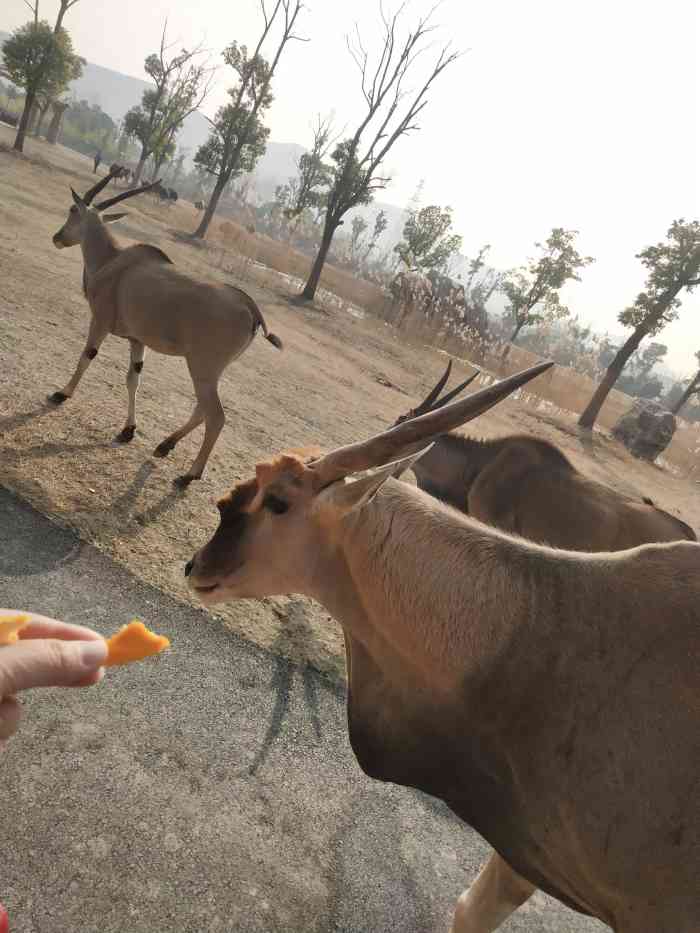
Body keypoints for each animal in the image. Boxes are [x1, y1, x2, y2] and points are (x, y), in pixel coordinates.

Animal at [50, 169, 284, 488]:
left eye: (73, 209)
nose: (57, 237)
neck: (113, 260)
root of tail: (249, 306)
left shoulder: (100, 322)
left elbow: (87, 357)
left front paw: (62, 393)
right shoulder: (137, 341)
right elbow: (133, 379)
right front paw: (128, 430)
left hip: (201, 367)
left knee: (216, 416)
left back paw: (189, 474)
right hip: (208, 370)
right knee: (202, 409)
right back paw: (164, 445)